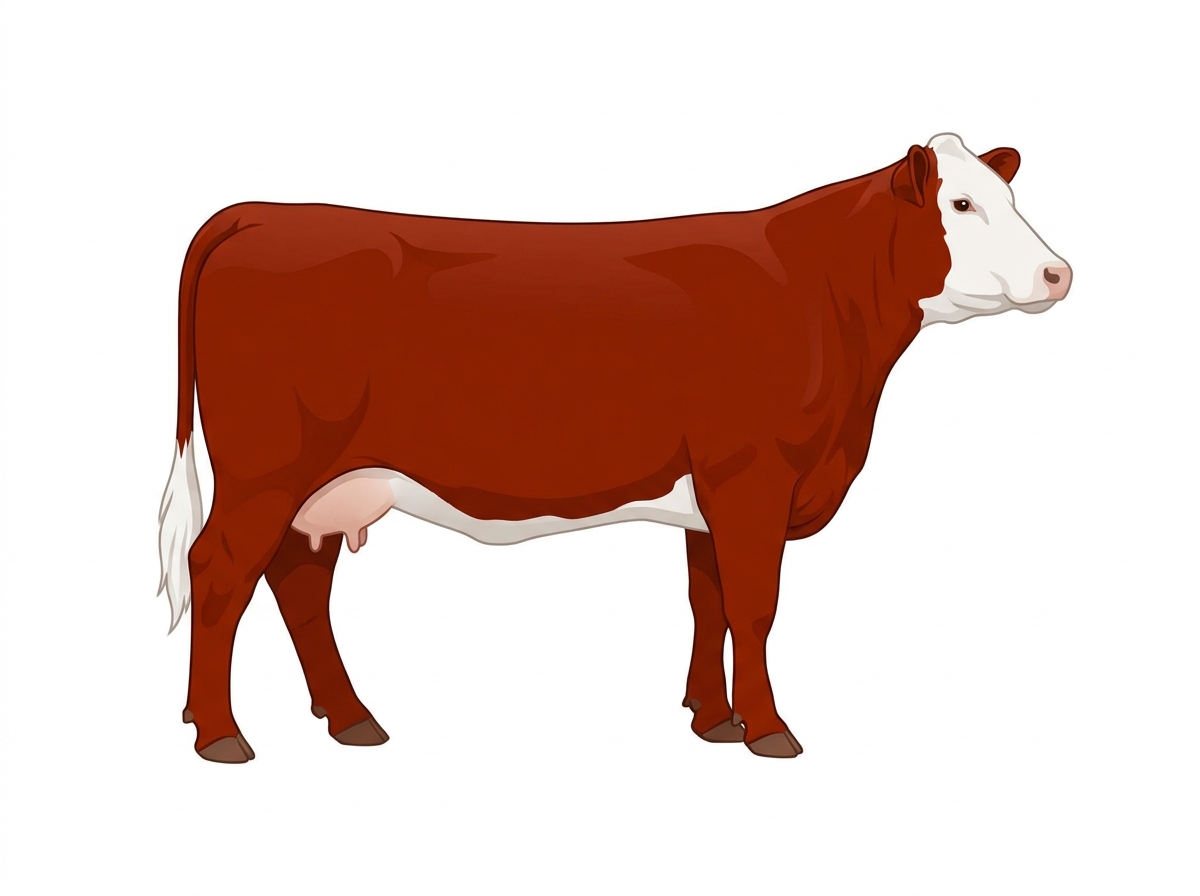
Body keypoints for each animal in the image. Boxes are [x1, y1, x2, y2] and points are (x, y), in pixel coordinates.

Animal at [157, 133, 1071, 763]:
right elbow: (755, 606)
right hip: (265, 471)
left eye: (1008, 194)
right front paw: (768, 729)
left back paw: (351, 719)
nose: (1060, 274)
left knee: (298, 583)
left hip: (324, 483)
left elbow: (710, 602)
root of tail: (264, 212)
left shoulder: (713, 493)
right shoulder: (753, 475)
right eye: (961, 206)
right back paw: (219, 734)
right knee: (220, 571)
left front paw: (714, 720)